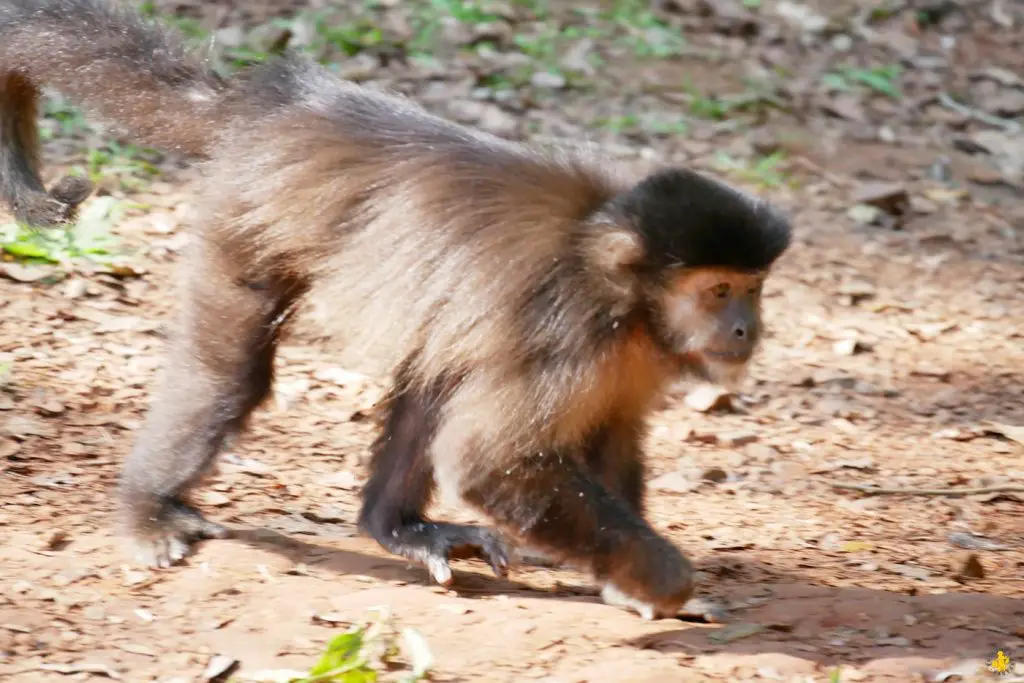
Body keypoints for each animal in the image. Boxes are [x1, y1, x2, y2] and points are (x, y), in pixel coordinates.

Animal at [0, 0, 790, 618]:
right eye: (718, 292)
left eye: (753, 287)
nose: (747, 327)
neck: (627, 298)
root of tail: (281, 99)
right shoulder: (572, 331)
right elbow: (489, 464)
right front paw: (666, 579)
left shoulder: (632, 356)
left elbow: (608, 438)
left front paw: (630, 587)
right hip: (247, 211)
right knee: (230, 374)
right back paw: (148, 507)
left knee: (438, 364)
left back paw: (396, 527)